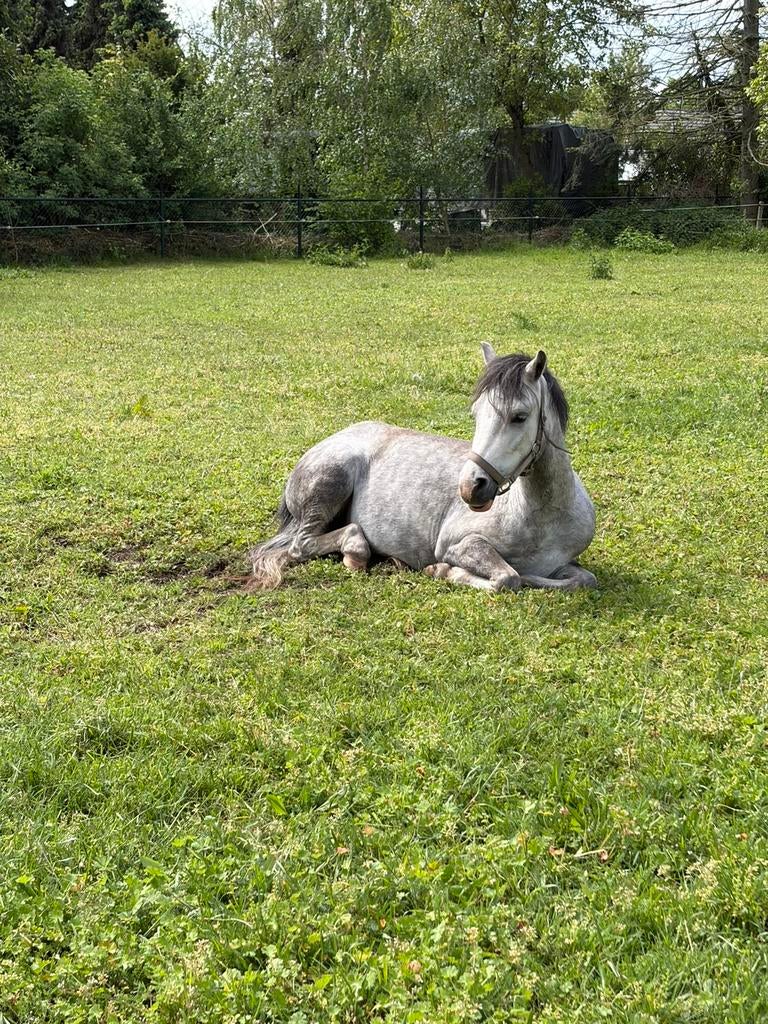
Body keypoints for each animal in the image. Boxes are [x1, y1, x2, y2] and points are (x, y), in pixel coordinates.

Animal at [249, 345, 596, 592]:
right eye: (476, 414)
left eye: (520, 417)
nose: (471, 486)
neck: (541, 518)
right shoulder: (459, 545)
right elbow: (508, 578)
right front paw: (442, 570)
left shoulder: (565, 564)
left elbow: (581, 580)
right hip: (332, 481)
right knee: (303, 544)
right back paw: (356, 553)